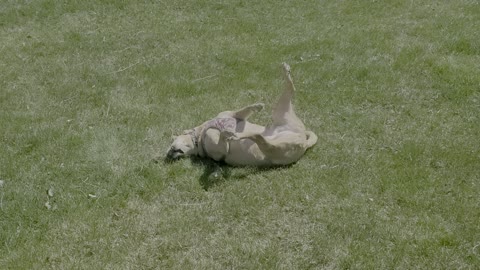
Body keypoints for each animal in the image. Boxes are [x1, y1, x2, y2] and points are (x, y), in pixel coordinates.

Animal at [167, 62, 316, 167]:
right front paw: (223, 133)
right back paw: (235, 135)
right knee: (258, 137)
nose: (169, 155)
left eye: (172, 143)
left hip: (281, 114)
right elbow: (219, 139)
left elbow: (241, 111)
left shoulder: (232, 115)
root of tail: (304, 141)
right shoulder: (220, 151)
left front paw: (256, 106)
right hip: (275, 147)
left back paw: (286, 72)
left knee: (290, 89)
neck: (199, 135)